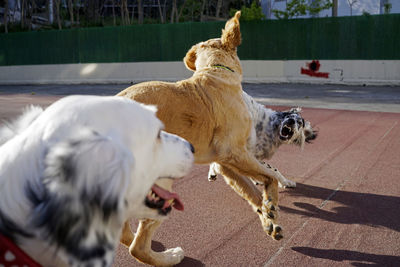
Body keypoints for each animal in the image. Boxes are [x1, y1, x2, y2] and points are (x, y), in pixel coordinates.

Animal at [117, 11, 282, 266]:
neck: (215, 72)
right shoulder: (234, 152)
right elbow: (270, 177)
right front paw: (272, 206)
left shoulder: (225, 164)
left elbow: (253, 194)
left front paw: (268, 220)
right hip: (160, 180)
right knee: (137, 247)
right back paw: (171, 256)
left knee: (125, 234)